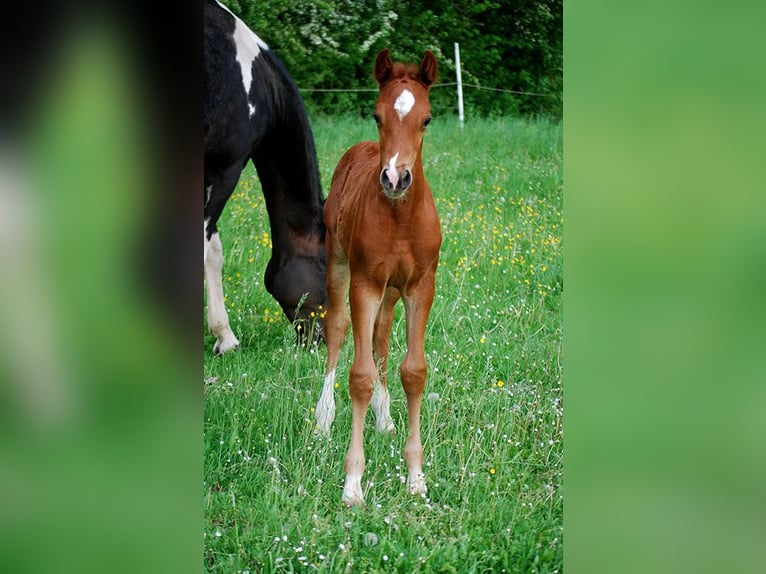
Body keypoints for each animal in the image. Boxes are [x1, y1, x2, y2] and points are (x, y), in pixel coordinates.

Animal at [314, 49, 441, 506]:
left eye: (427, 118)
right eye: (376, 115)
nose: (394, 178)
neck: (400, 218)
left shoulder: (421, 286)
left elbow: (414, 371)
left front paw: (416, 476)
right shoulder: (365, 283)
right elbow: (360, 376)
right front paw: (353, 483)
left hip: (392, 292)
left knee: (381, 336)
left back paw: (385, 419)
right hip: (339, 264)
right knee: (338, 331)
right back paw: (323, 418)